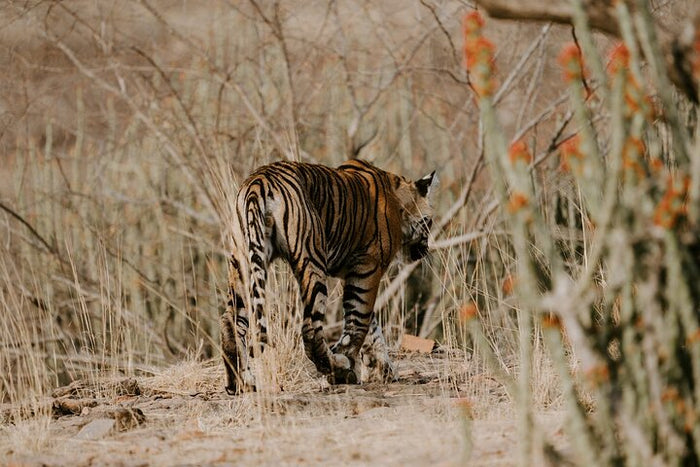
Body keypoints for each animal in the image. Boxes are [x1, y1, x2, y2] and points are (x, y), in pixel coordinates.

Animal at [220, 159, 436, 394]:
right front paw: (349, 364)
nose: (427, 248)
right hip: (311, 259)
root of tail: (259, 181)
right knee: (310, 330)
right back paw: (337, 367)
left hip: (242, 261)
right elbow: (359, 322)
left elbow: (370, 326)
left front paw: (382, 368)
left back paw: (240, 383)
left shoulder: (352, 274)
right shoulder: (367, 267)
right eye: (430, 222)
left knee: (230, 322)